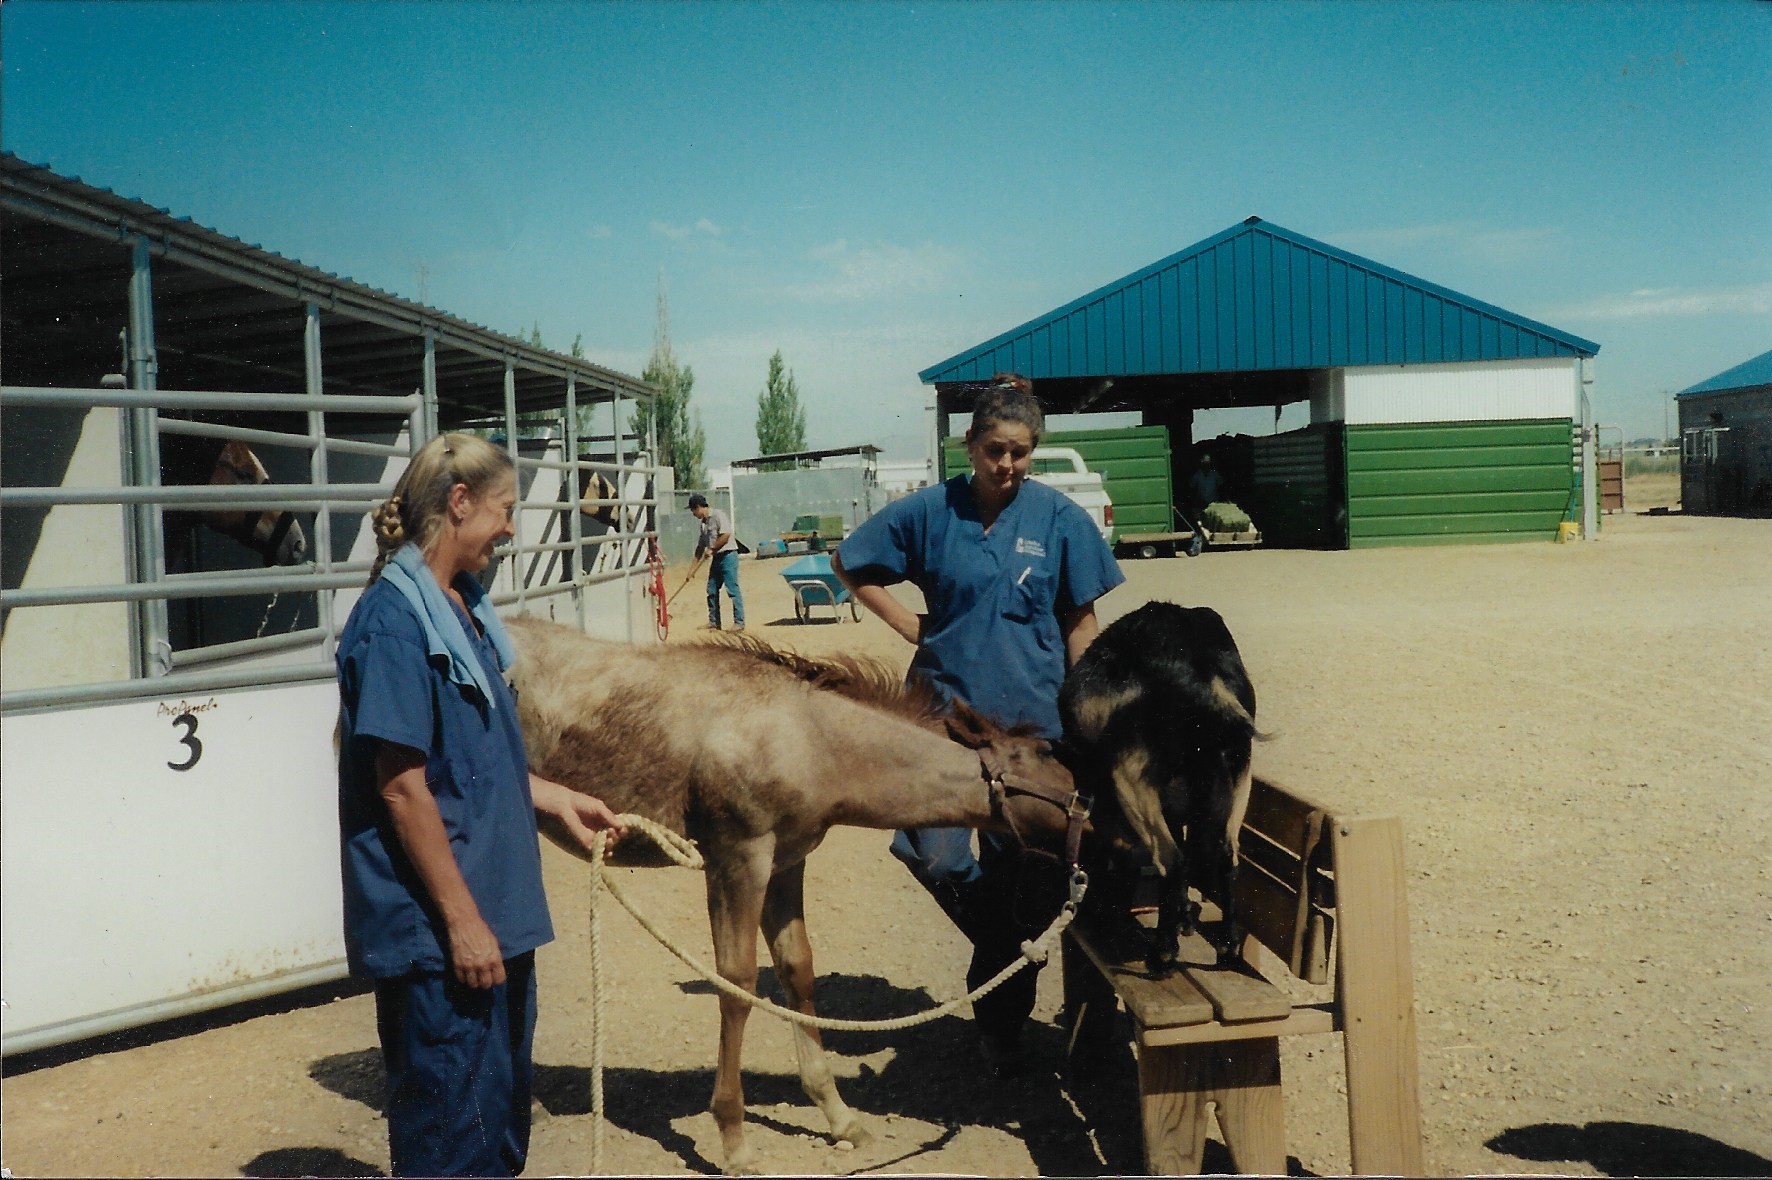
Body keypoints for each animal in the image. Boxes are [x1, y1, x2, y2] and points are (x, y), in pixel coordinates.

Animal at [506, 609, 1084, 1169]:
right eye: (1044, 753)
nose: (1092, 807)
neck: (807, 740)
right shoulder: (738, 859)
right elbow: (737, 984)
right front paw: (734, 1140)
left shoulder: (787, 863)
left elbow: (797, 970)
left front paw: (839, 1116)